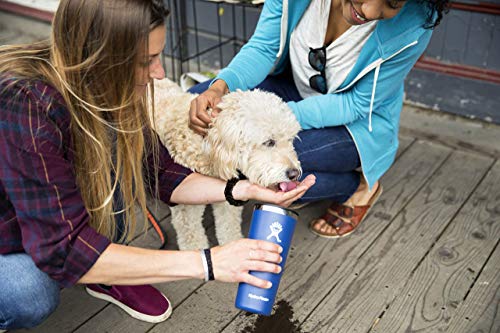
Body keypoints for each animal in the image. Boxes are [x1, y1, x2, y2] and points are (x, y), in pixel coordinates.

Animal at [152, 78, 300, 249]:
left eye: (291, 139)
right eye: (269, 142)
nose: (294, 173)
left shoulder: (227, 199)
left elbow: (228, 229)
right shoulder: (185, 210)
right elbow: (193, 243)